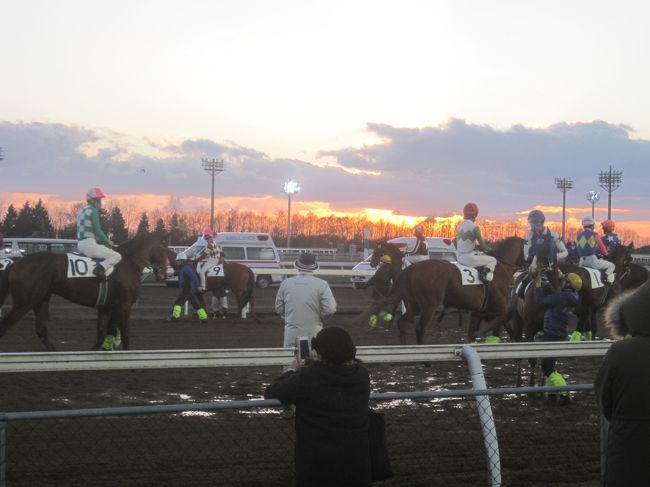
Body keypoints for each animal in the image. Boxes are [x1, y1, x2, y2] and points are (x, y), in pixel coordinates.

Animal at [0, 233, 170, 350]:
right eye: (164, 249)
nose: (163, 274)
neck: (129, 262)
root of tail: (15, 263)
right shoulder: (124, 305)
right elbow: (125, 334)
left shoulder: (107, 307)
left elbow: (102, 335)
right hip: (24, 303)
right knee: (5, 326)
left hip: (41, 299)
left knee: (41, 330)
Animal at [372, 237, 524, 346]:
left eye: (377, 251)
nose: (373, 263)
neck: (498, 272)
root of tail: (413, 268)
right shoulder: (499, 310)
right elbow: (508, 331)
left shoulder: (483, 312)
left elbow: (473, 333)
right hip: (429, 305)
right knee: (419, 327)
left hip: (416, 304)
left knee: (403, 322)